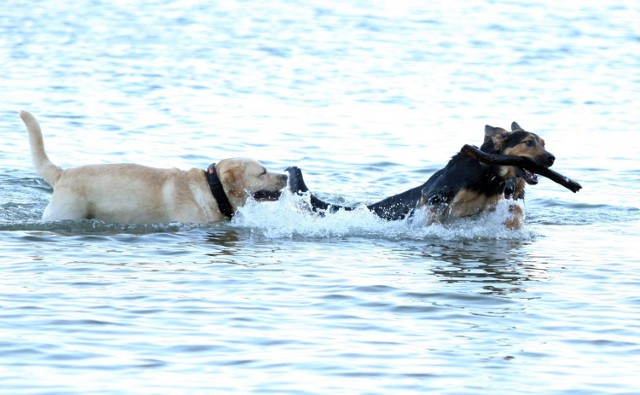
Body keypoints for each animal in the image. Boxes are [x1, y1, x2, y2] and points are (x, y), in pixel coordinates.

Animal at [288, 123, 552, 229]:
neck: (489, 174)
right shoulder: (433, 195)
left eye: (544, 143)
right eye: (529, 143)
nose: (552, 158)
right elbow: (433, 214)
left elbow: (514, 210)